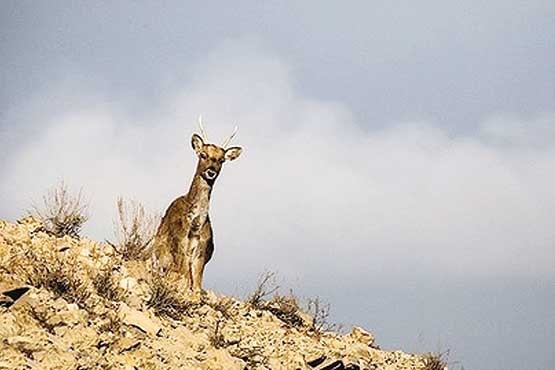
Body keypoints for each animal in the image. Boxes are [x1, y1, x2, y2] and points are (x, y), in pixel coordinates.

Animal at [154, 115, 245, 294]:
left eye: (221, 160)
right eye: (203, 154)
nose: (211, 171)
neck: (195, 226)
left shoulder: (201, 252)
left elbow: (196, 285)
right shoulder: (180, 245)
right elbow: (185, 281)